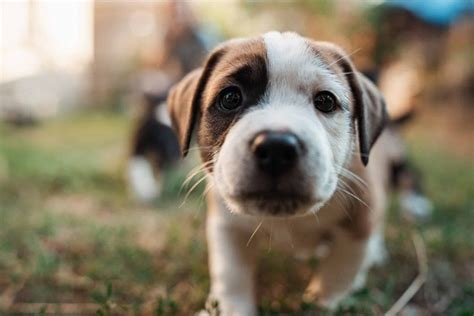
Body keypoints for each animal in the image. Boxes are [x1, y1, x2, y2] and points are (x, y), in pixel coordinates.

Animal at [168, 31, 398, 314]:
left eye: (325, 101)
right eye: (230, 98)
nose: (276, 147)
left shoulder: (360, 220)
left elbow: (339, 272)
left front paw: (324, 303)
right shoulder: (226, 225)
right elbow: (230, 274)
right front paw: (229, 308)